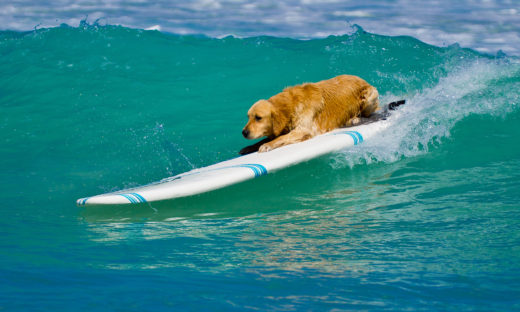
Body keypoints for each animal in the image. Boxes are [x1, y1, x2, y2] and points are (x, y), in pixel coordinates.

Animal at [240, 75, 378, 154]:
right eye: (248, 117)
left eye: (258, 118)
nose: (244, 132)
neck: (291, 105)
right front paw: (249, 147)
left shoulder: (304, 129)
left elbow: (281, 138)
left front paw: (266, 145)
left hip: (370, 95)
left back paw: (354, 119)